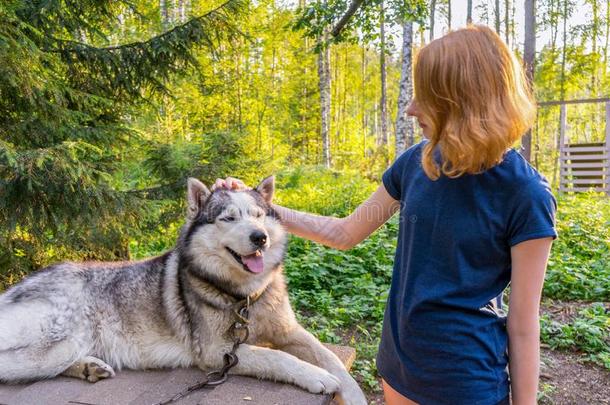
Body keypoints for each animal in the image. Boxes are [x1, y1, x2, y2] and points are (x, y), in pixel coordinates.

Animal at [0, 176, 366, 404]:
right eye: (228, 218)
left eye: (259, 216)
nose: (260, 237)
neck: (243, 295)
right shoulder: (218, 353)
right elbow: (277, 357)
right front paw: (316, 377)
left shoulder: (288, 331)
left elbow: (330, 356)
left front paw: (353, 393)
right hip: (56, 343)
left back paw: (90, 368)